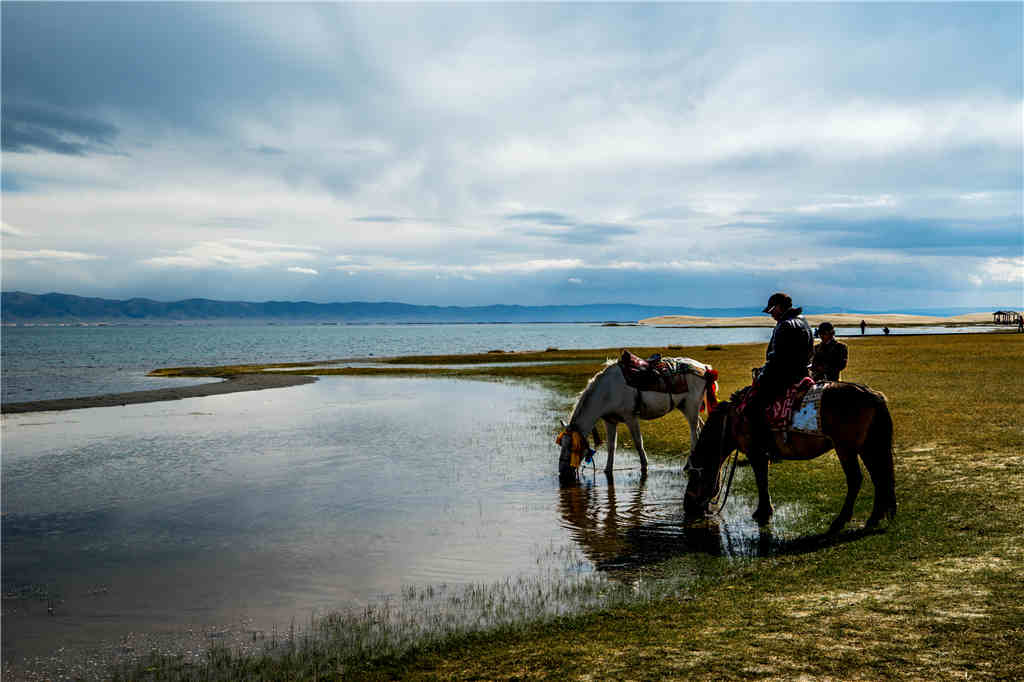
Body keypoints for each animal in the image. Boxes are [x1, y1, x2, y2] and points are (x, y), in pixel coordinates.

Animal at [557, 356, 716, 477]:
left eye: (572, 446)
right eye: (561, 444)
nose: (562, 472)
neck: (607, 391)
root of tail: (704, 368)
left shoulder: (630, 417)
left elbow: (638, 442)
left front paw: (644, 466)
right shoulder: (610, 421)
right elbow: (611, 446)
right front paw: (608, 470)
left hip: (691, 407)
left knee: (694, 435)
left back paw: (689, 466)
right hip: (685, 407)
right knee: (700, 429)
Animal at [688, 382, 897, 532]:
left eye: (693, 475)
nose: (688, 508)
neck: (732, 421)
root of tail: (871, 394)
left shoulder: (756, 454)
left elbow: (761, 481)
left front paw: (762, 512)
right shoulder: (761, 455)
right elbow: (763, 480)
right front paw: (765, 511)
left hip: (846, 448)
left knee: (856, 479)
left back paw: (840, 521)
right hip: (867, 446)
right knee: (879, 478)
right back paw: (874, 519)